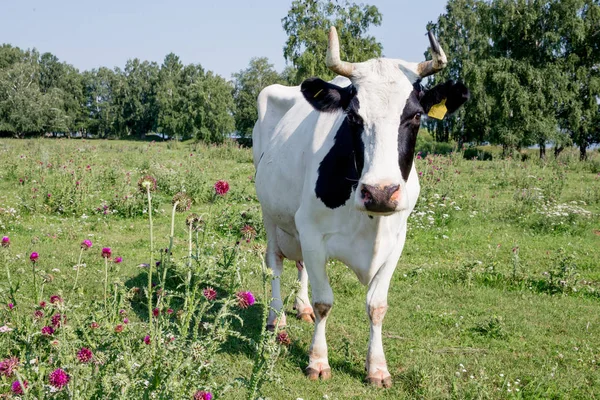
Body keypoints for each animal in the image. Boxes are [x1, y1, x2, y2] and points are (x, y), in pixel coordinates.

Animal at [252, 25, 468, 388]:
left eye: (416, 115)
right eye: (353, 116)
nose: (380, 192)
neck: (369, 221)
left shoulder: (396, 239)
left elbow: (377, 305)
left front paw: (377, 368)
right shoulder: (312, 231)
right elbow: (325, 302)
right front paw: (317, 361)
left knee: (300, 266)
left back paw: (300, 307)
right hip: (271, 216)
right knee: (276, 265)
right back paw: (276, 318)